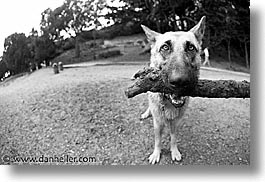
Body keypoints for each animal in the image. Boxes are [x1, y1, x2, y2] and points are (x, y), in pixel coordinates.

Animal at [139, 16, 205, 164]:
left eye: (191, 47)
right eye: (165, 47)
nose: (180, 81)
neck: (168, 102)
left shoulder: (176, 122)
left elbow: (173, 138)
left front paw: (174, 151)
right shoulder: (158, 123)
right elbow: (158, 140)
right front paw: (156, 153)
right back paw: (147, 113)